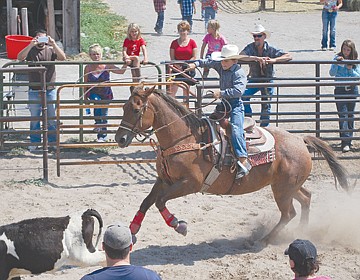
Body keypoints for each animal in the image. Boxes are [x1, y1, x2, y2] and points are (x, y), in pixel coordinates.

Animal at [114, 84, 348, 244]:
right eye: (123, 107)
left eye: (136, 110)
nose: (120, 139)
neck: (183, 138)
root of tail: (300, 140)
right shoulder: (165, 179)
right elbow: (147, 201)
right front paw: (131, 231)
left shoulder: (189, 184)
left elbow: (160, 201)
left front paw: (179, 225)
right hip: (287, 186)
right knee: (306, 198)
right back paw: (301, 233)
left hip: (283, 190)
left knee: (289, 213)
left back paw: (265, 239)